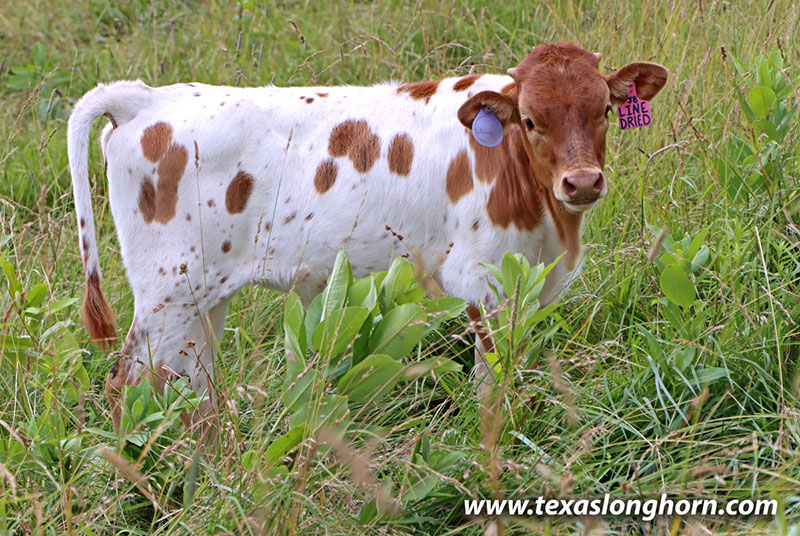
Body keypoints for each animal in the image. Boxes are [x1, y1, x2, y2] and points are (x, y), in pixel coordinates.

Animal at [67, 42, 667, 429]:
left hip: (202, 296)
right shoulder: (483, 280)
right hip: (167, 291)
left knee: (193, 386)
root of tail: (146, 99)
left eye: (604, 109)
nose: (582, 181)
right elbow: (491, 385)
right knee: (127, 385)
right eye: (530, 119)